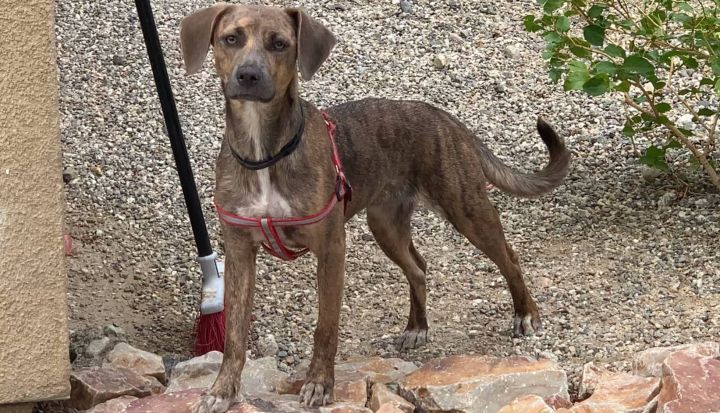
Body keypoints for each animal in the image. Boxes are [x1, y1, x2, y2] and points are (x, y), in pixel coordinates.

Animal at [181, 4, 572, 412]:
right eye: (231, 38)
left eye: (280, 44)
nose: (248, 75)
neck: (264, 152)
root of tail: (443, 117)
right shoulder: (240, 251)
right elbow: (234, 333)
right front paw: (223, 390)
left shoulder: (331, 249)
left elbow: (325, 327)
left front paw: (319, 384)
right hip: (385, 225)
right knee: (418, 267)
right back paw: (417, 326)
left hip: (466, 210)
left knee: (508, 256)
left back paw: (525, 314)